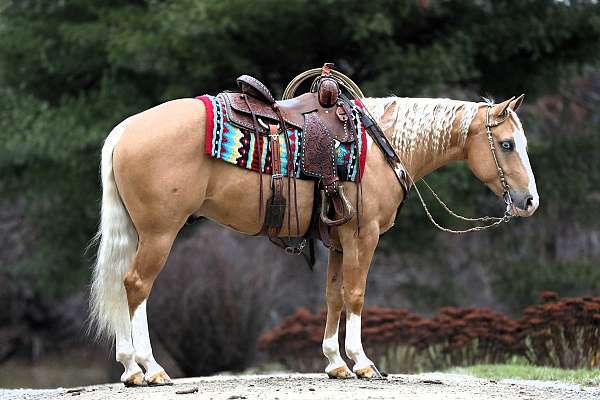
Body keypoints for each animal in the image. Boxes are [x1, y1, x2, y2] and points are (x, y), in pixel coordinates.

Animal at [91, 93, 540, 384]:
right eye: (506, 144)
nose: (530, 201)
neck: (379, 144)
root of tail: (126, 129)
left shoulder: (339, 241)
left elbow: (334, 295)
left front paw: (335, 362)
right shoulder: (363, 236)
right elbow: (356, 294)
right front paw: (362, 362)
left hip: (141, 234)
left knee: (124, 286)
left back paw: (131, 368)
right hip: (159, 233)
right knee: (137, 286)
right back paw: (148, 368)